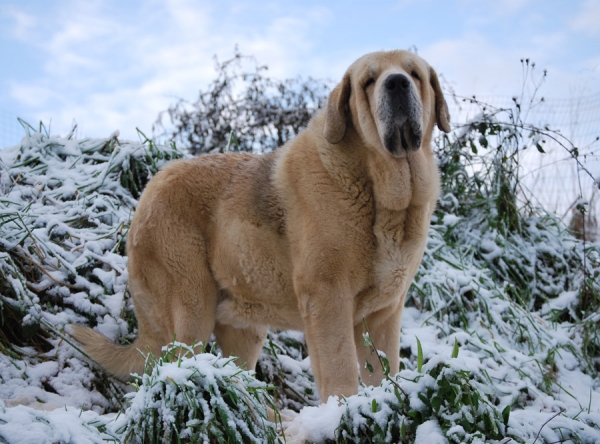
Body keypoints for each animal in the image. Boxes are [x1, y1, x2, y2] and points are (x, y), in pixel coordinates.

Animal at [71, 49, 450, 402]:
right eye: (368, 82)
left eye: (414, 75)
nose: (397, 83)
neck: (383, 192)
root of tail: (147, 192)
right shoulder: (328, 300)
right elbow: (340, 370)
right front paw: (341, 413)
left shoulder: (383, 314)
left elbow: (383, 372)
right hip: (190, 307)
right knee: (175, 367)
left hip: (243, 328)